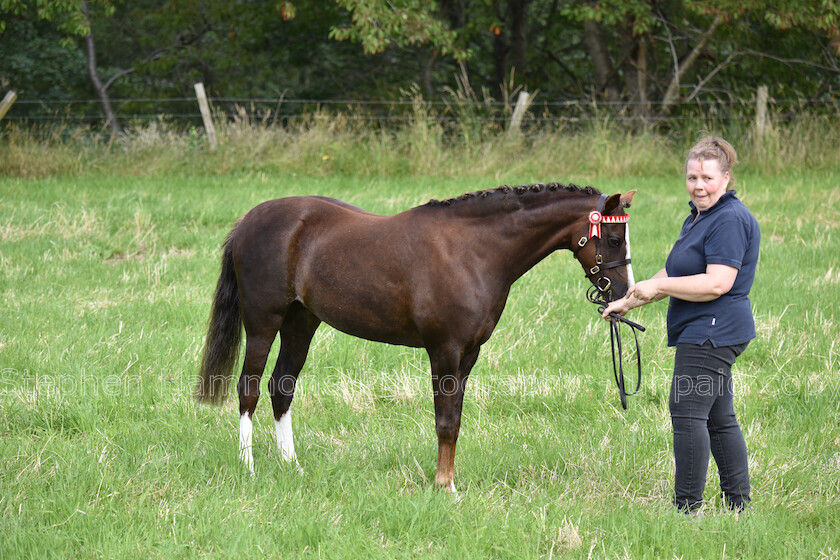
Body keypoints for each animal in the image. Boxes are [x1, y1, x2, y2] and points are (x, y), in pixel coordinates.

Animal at [195, 183, 636, 490]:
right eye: (614, 239)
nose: (624, 293)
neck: (472, 252)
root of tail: (249, 220)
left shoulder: (469, 354)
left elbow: (455, 418)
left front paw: (450, 481)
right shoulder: (444, 350)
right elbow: (444, 421)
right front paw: (444, 487)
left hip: (301, 323)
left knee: (281, 387)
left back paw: (293, 466)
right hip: (263, 323)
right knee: (249, 387)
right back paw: (249, 467)